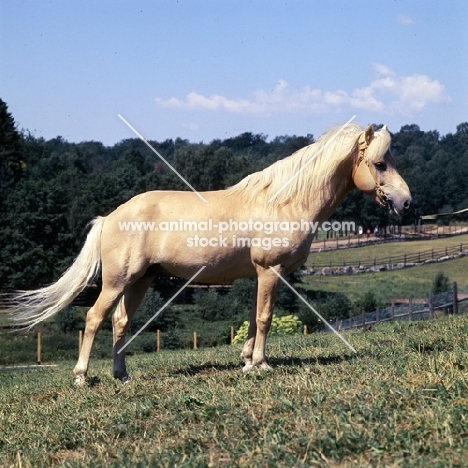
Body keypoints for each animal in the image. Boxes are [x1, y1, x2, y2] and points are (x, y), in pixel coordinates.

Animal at [1, 122, 410, 382]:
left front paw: (246, 361)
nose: (405, 202)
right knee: (93, 318)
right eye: (379, 163)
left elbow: (253, 318)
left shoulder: (259, 275)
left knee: (120, 322)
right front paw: (260, 365)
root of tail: (110, 216)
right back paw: (82, 376)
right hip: (117, 281)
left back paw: (122, 375)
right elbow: (265, 318)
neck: (282, 202)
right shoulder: (270, 270)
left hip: (140, 281)